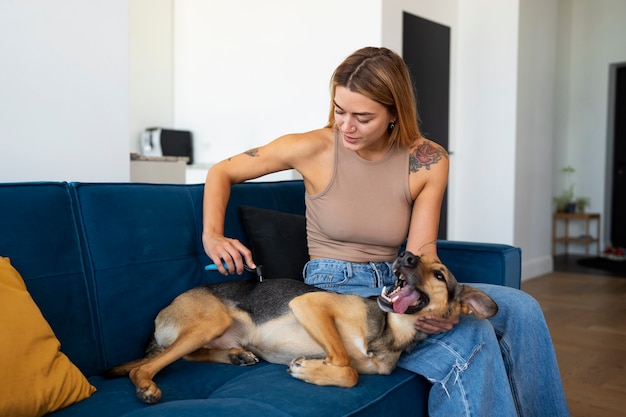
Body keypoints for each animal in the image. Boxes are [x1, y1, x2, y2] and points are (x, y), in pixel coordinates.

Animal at [107, 250, 498, 404]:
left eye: (439, 274)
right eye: (418, 257)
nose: (406, 256)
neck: (388, 330)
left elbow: (349, 367)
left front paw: (314, 369)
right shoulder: (311, 305)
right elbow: (345, 364)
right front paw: (311, 369)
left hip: (211, 334)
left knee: (188, 356)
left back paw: (236, 356)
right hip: (210, 321)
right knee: (145, 367)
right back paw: (147, 387)